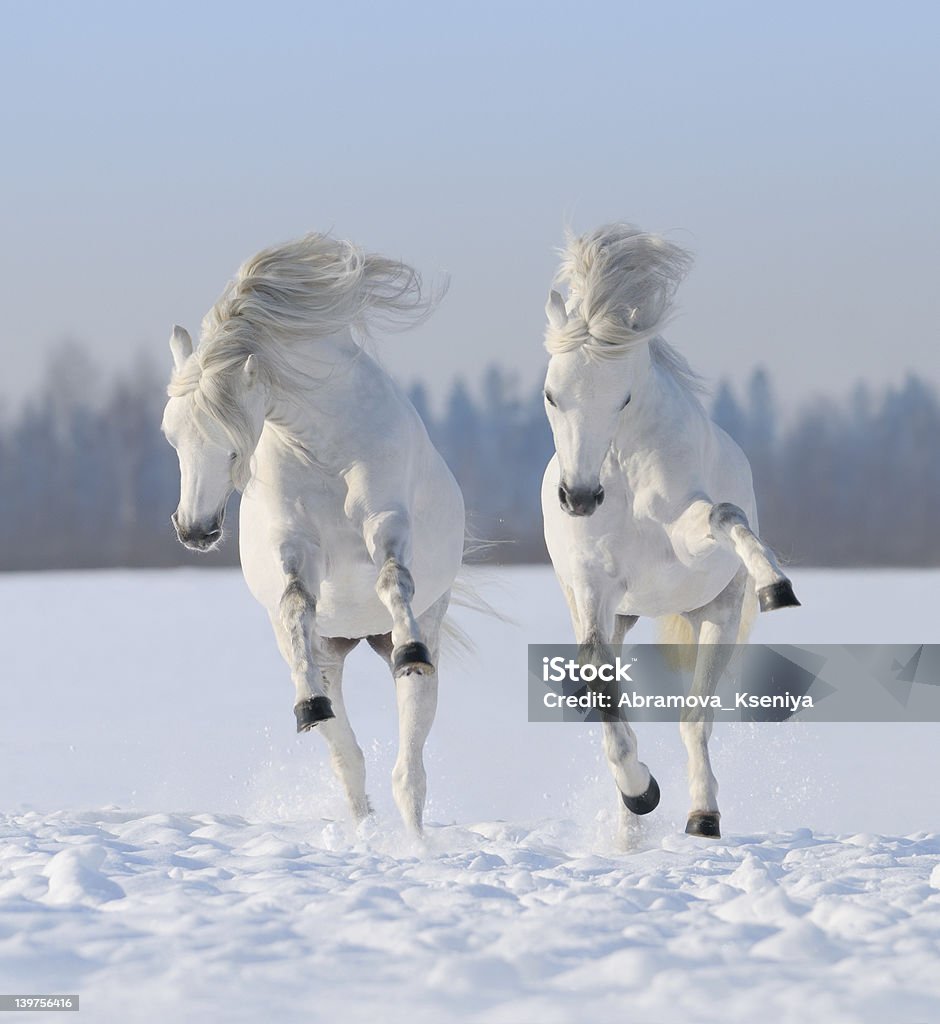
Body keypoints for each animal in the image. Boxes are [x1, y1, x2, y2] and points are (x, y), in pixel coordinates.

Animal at [166, 235, 471, 835]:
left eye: (231, 444)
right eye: (173, 437)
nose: (194, 529)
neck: (324, 447)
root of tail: (358, 636)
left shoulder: (386, 520)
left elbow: (393, 579)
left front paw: (411, 648)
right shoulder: (295, 546)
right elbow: (294, 604)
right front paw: (306, 705)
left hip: (420, 635)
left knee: (409, 768)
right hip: (331, 652)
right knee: (349, 762)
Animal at [540, 224, 798, 839]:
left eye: (623, 397)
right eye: (552, 394)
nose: (579, 497)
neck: (622, 472)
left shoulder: (686, 537)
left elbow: (725, 516)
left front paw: (777, 586)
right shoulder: (594, 586)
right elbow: (599, 682)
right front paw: (640, 793)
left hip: (715, 617)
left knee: (695, 718)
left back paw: (703, 815)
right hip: (619, 612)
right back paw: (631, 826)